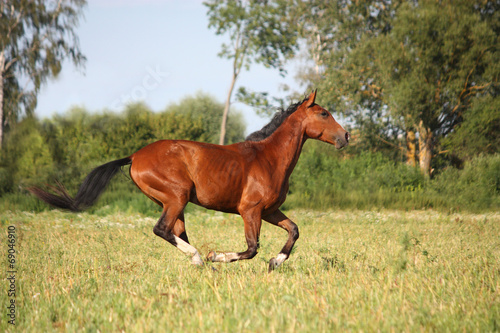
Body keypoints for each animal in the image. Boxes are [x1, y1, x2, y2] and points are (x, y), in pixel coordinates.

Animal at [30, 90, 348, 270]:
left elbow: (293, 231)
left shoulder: (270, 210)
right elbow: (251, 248)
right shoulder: (250, 211)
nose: (345, 136)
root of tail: (134, 156)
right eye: (324, 113)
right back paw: (201, 259)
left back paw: (201, 263)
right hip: (176, 197)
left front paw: (275, 262)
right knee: (162, 229)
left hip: (173, 202)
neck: (268, 157)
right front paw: (217, 256)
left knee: (176, 232)